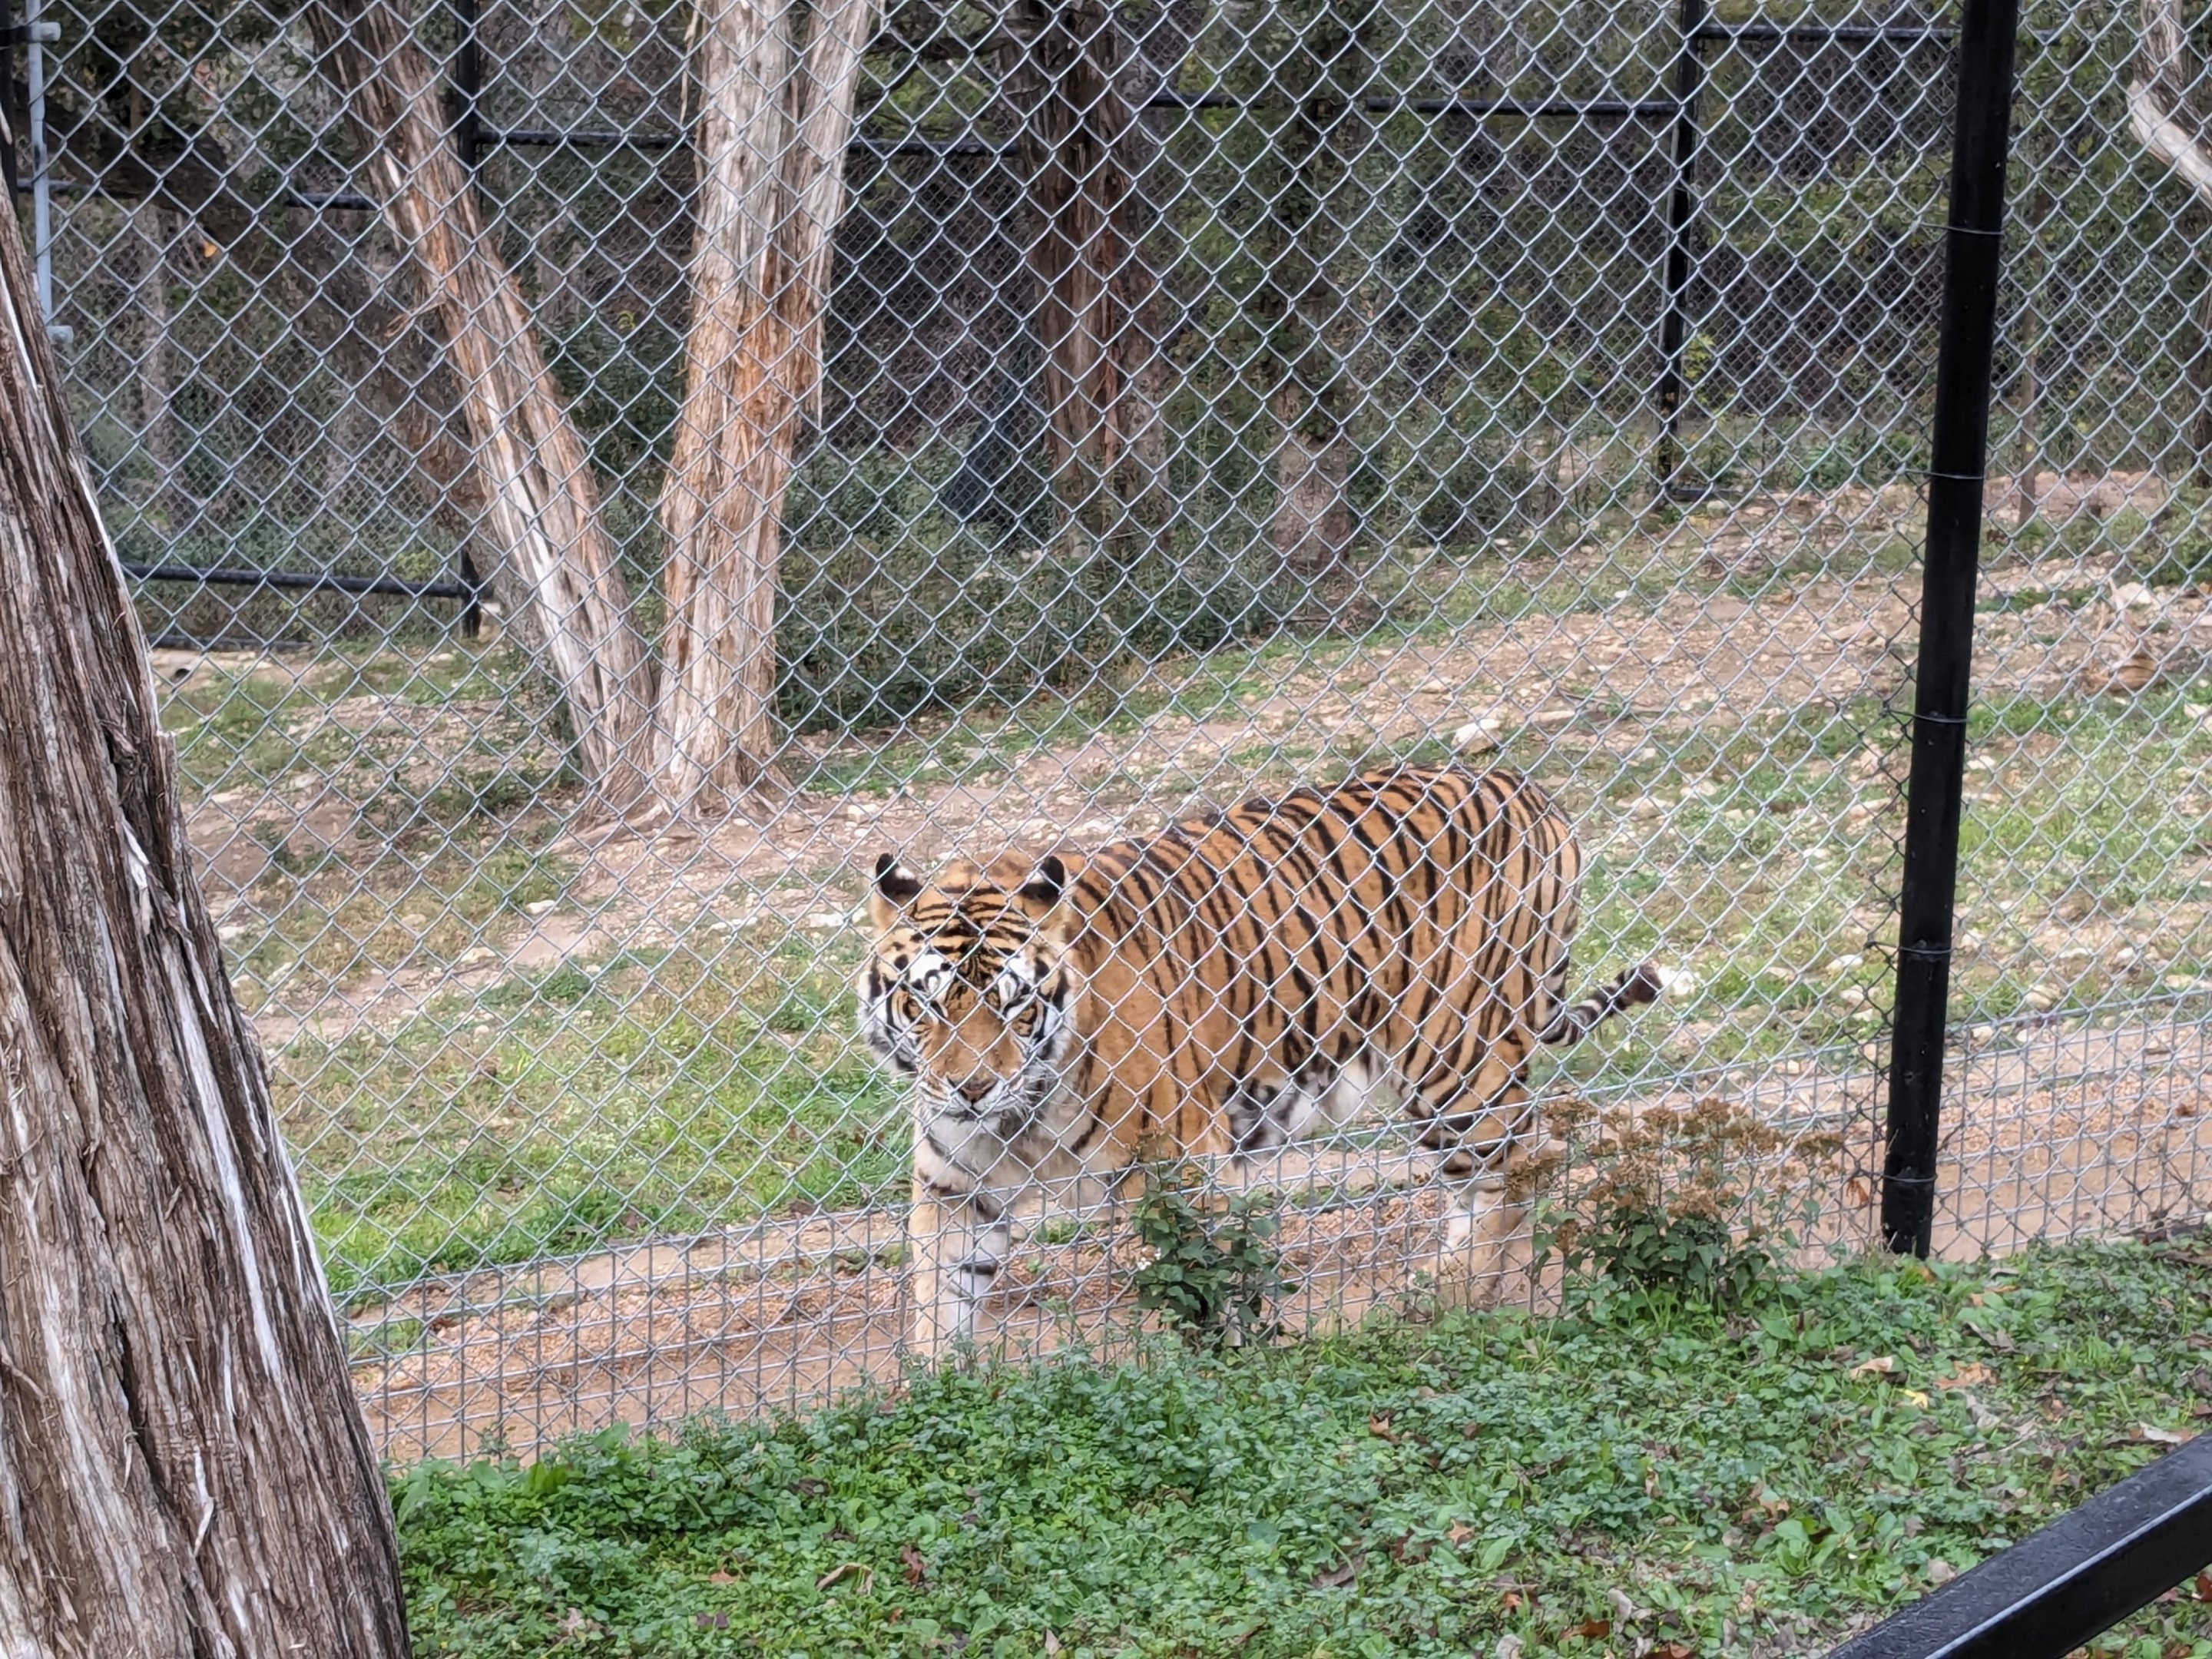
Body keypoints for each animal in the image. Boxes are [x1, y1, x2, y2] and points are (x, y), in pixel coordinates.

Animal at [858, 763, 1664, 1355]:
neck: (1021, 1113)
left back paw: (1462, 1295)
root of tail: (1527, 789)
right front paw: (938, 1390)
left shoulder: (1183, 1163)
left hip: (1456, 1060)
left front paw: (1211, 1365)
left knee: (1512, 1167)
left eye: (1013, 1005)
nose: (970, 1088)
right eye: (928, 1005)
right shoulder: (955, 1183)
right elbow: (940, 1298)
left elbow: (1199, 1282)